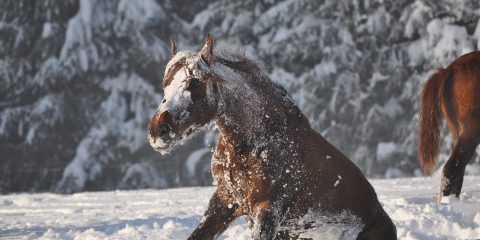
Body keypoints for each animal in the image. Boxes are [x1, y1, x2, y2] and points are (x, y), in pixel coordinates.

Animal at [148, 36, 396, 240]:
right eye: (165, 84)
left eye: (194, 83)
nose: (158, 131)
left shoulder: (268, 210)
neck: (254, 144)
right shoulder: (225, 201)